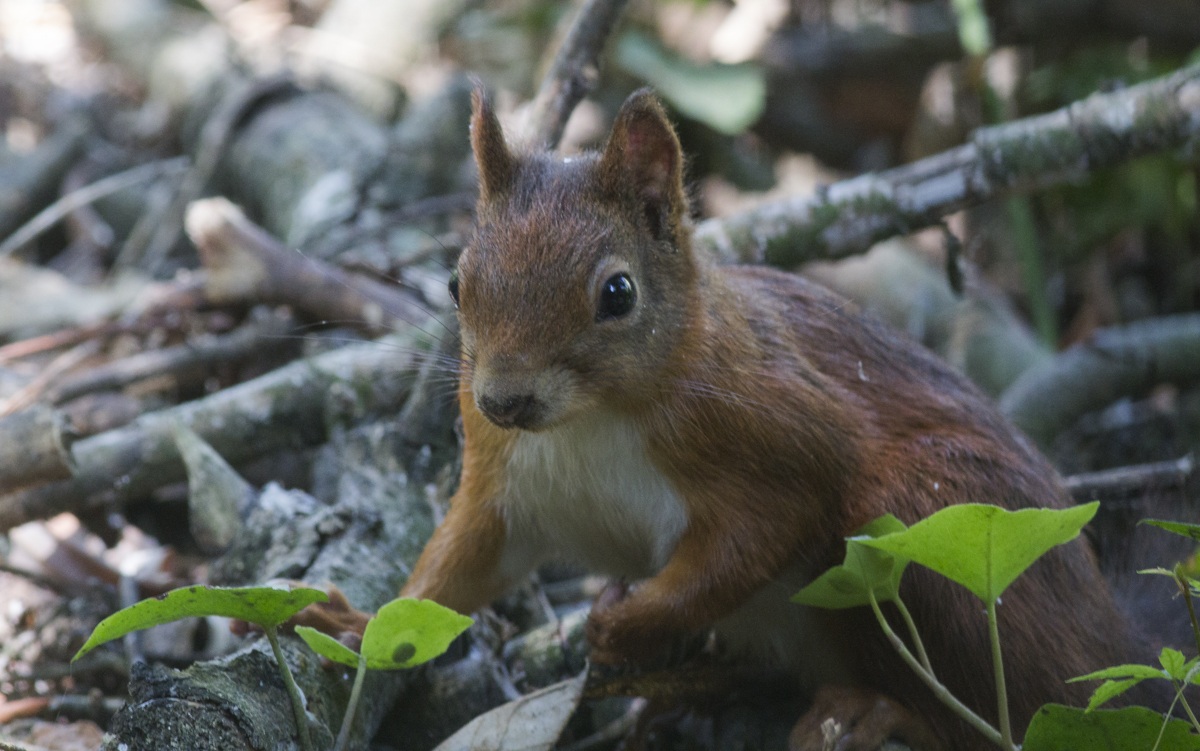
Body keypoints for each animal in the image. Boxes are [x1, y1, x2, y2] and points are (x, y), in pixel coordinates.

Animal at [302, 89, 1168, 750]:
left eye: (618, 293)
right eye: (457, 281)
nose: (504, 399)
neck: (585, 423)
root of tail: (1118, 641)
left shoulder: (774, 433)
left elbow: (753, 539)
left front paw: (625, 623)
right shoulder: (500, 480)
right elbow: (454, 571)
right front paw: (352, 622)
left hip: (935, 521)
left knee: (1003, 714)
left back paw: (874, 710)